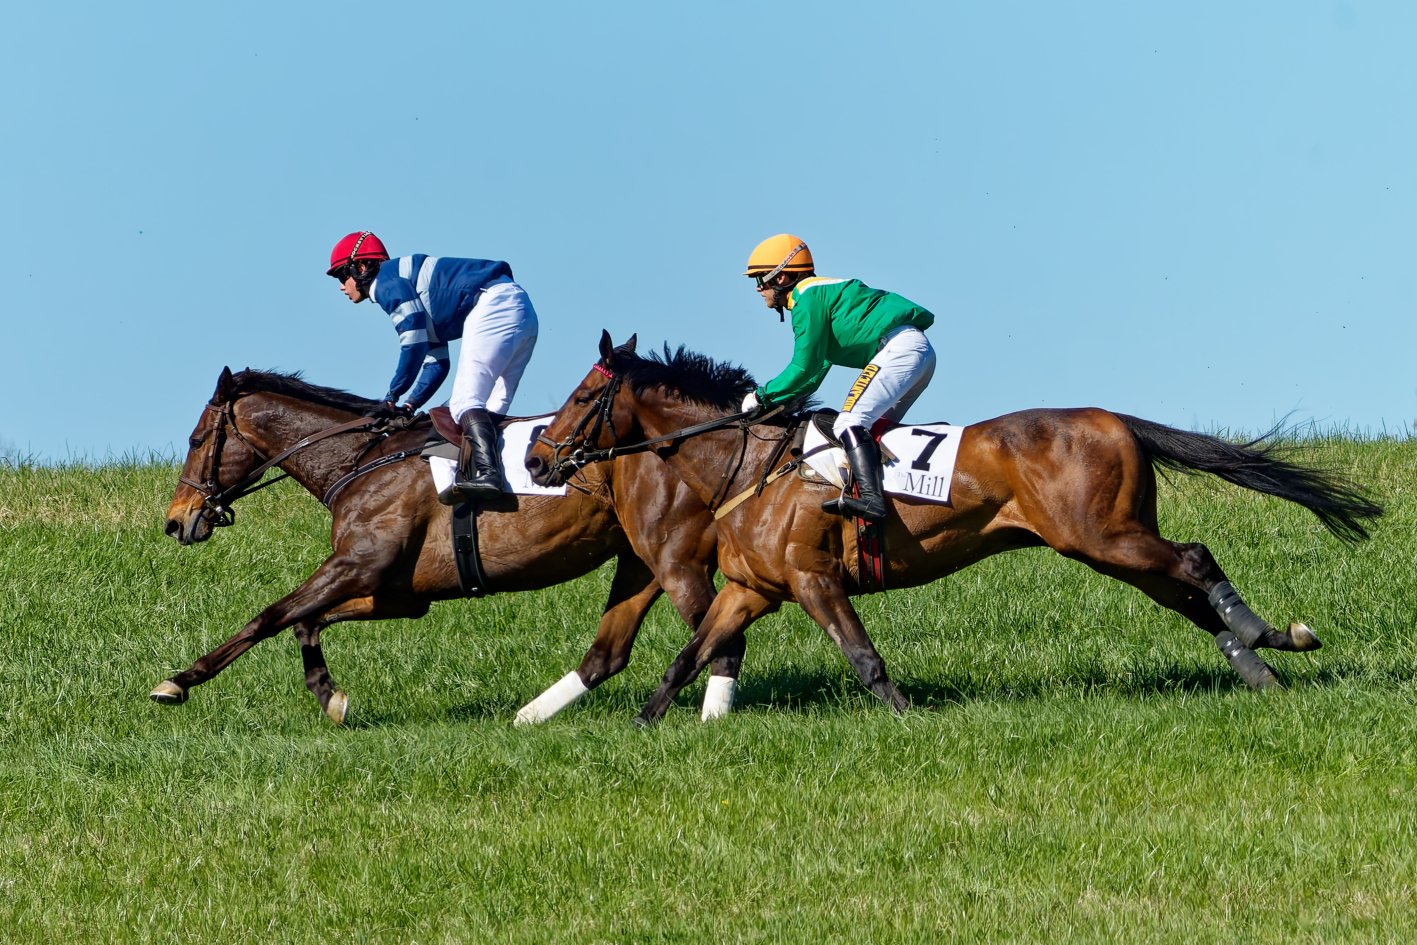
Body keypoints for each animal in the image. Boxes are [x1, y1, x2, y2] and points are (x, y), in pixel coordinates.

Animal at [156, 366, 736, 725]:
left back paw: (716, 717)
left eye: (195, 440)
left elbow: (270, 616)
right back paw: (529, 717)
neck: (360, 460)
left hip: (673, 557)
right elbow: (306, 621)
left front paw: (179, 681)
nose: (176, 521)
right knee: (611, 652)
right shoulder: (399, 592)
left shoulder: (356, 564)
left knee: (720, 633)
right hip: (639, 561)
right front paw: (330, 696)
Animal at [525, 331, 1383, 724]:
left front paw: (908, 722)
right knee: (1183, 590)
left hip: (1103, 536)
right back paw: (1260, 664)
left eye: (580, 396)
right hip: (1106, 544)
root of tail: (1114, 418)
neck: (747, 468)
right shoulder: (752, 586)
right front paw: (646, 724)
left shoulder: (812, 578)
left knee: (1197, 560)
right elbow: (687, 653)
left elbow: (862, 658)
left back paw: (1269, 636)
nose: (537, 456)